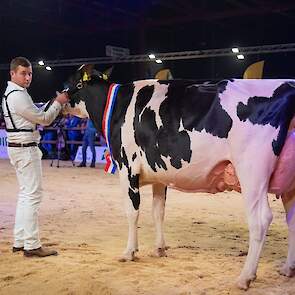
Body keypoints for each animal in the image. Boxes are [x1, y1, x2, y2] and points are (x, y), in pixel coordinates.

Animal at [64, 66, 295, 290]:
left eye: (74, 83)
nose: (58, 96)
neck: (117, 104)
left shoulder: (127, 169)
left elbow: (132, 213)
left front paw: (129, 251)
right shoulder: (159, 175)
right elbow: (158, 212)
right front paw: (159, 249)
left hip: (252, 172)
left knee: (260, 220)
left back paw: (245, 277)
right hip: (288, 184)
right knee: (292, 220)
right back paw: (287, 269)